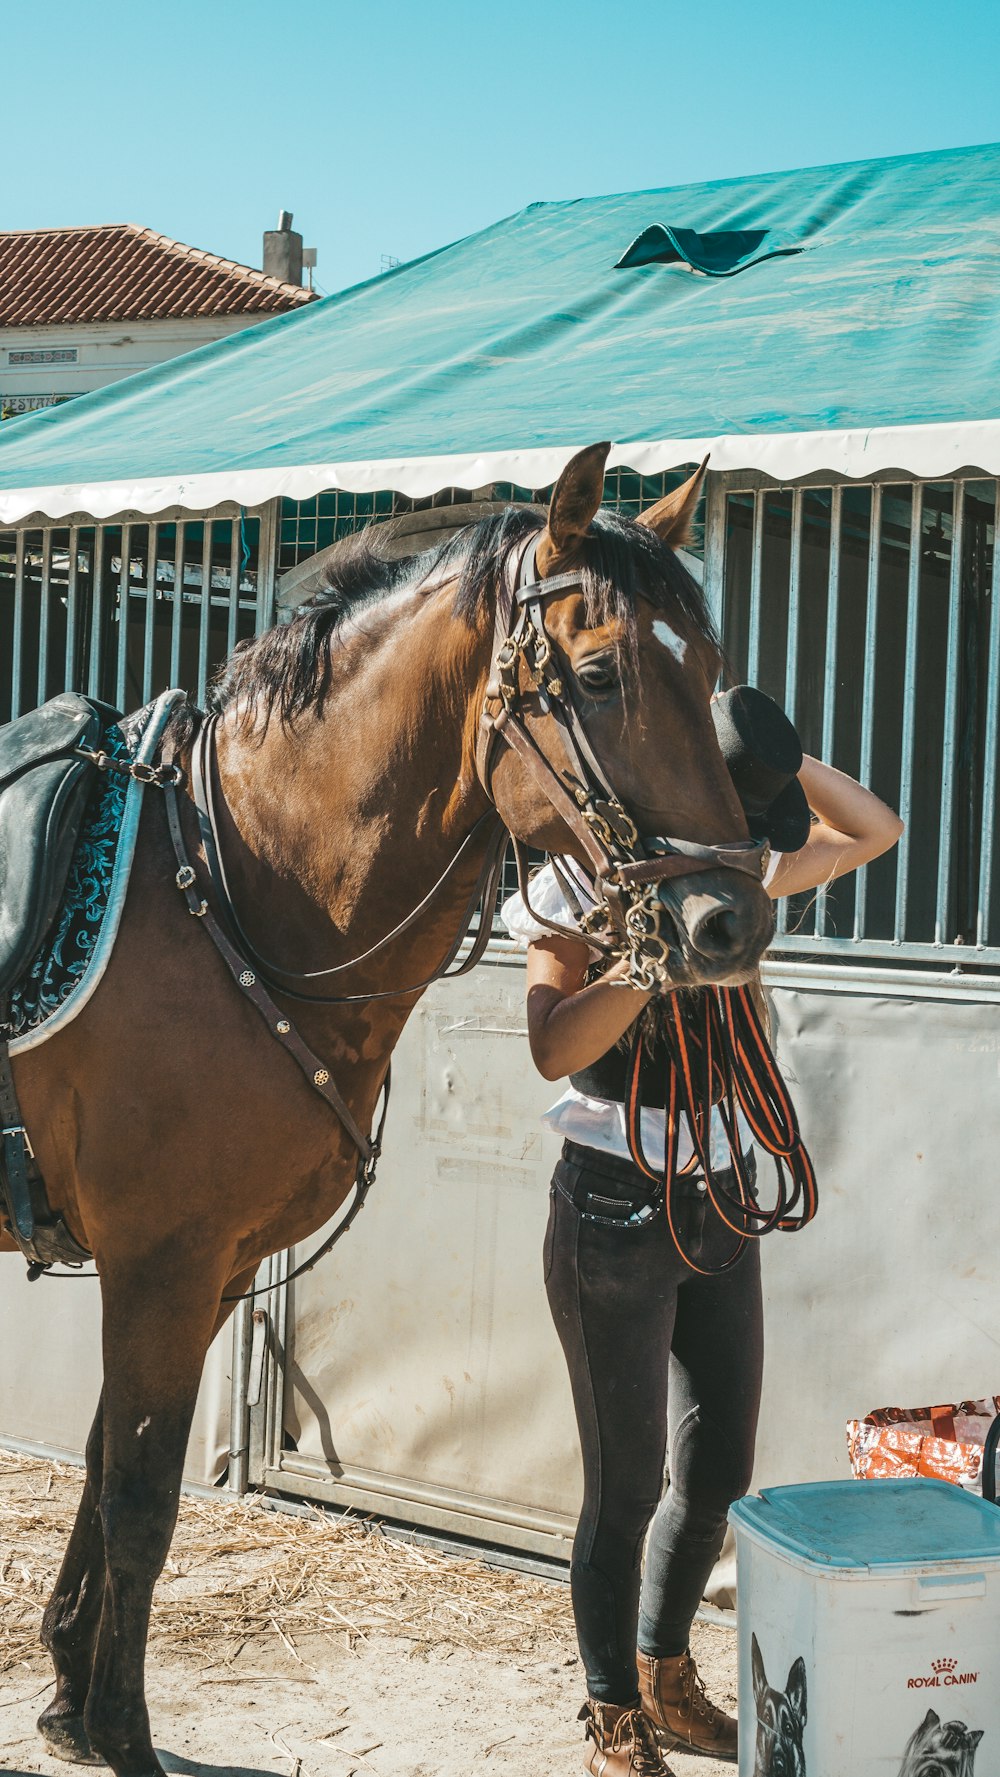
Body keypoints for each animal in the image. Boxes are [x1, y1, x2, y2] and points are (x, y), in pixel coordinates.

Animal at [3, 437, 774, 1769]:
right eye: (600, 674)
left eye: (711, 674)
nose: (731, 922)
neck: (234, 887)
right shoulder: (161, 1263)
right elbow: (144, 1500)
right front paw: (123, 1731)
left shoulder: (194, 1272)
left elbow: (106, 1472)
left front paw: (66, 1700)